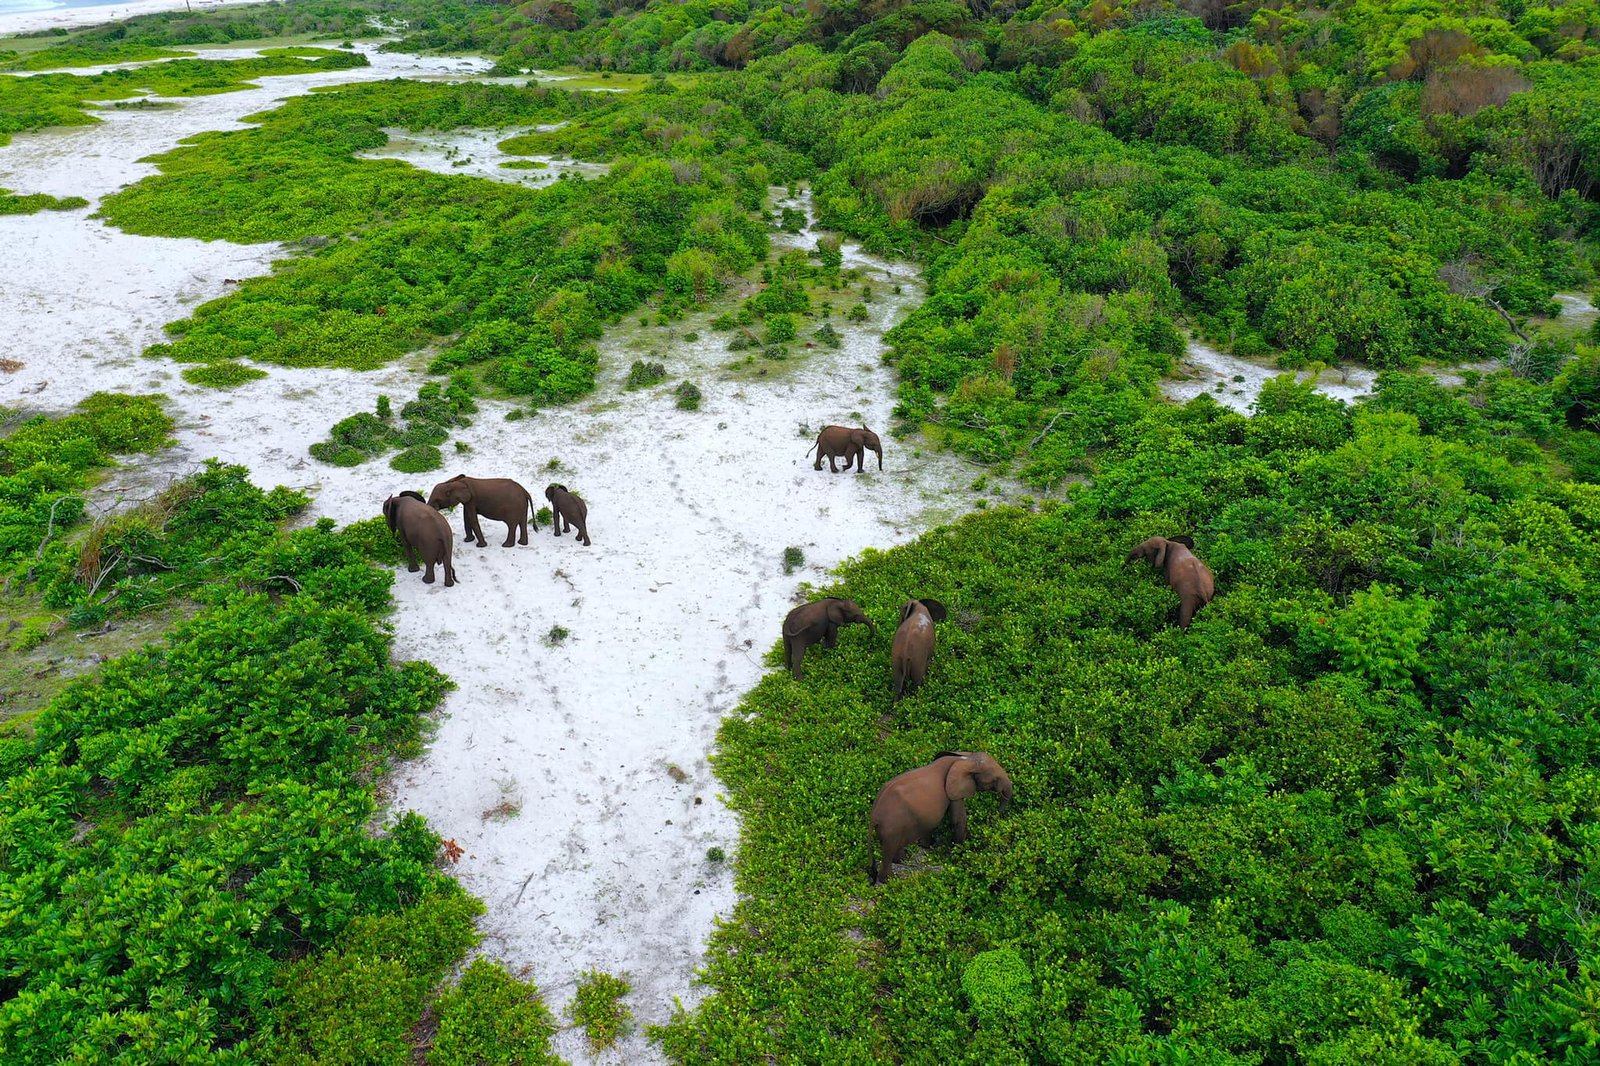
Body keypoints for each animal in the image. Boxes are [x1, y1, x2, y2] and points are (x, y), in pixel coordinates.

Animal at [870, 752, 1017, 883]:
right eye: (995, 779)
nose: (995, 815)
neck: (965, 758)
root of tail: (874, 815)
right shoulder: (953, 791)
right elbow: (958, 819)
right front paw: (958, 855)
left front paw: (930, 847)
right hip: (891, 826)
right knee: (889, 850)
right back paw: (889, 880)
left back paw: (903, 860)